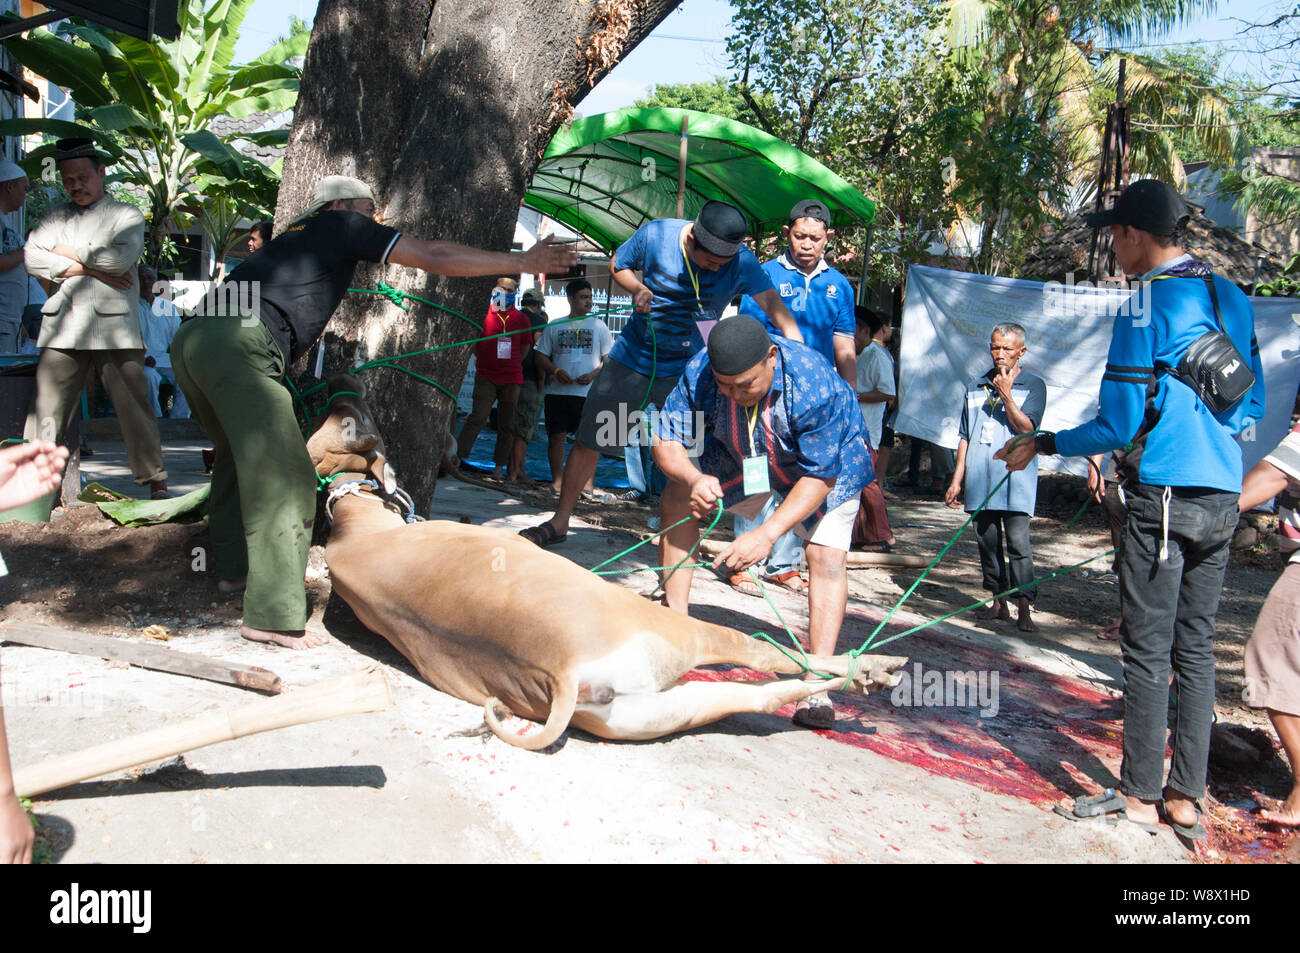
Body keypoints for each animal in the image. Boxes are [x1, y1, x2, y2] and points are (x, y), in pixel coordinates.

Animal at [308, 374, 909, 748]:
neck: (358, 522)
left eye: (344, 421)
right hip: (677, 636)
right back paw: (871, 667)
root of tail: (563, 673)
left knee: (762, 695)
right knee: (770, 658)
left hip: (649, 713)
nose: (342, 389)